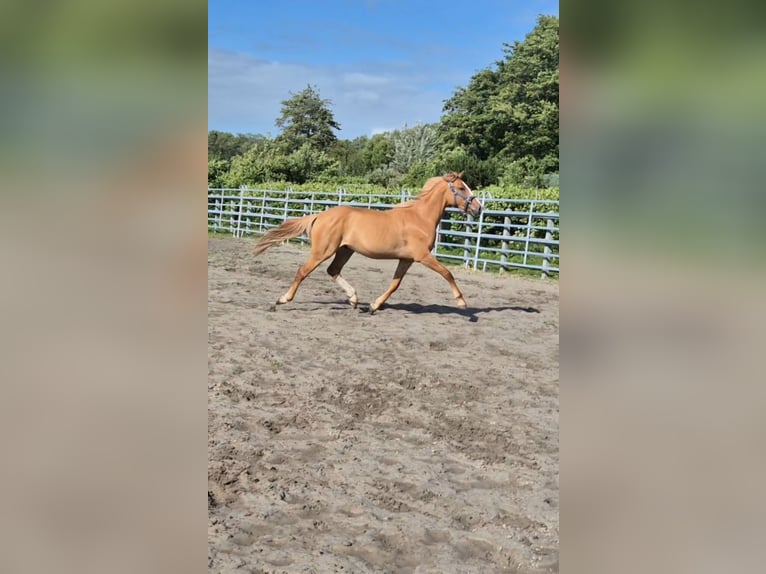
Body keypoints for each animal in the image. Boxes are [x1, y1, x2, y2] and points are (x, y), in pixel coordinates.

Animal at [252, 172, 482, 313]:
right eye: (461, 188)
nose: (478, 208)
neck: (420, 218)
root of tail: (319, 215)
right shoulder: (422, 256)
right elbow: (447, 273)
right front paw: (462, 303)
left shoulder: (406, 259)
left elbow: (395, 284)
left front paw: (373, 306)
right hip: (323, 251)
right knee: (303, 271)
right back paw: (282, 300)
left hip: (345, 250)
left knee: (333, 270)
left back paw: (354, 299)